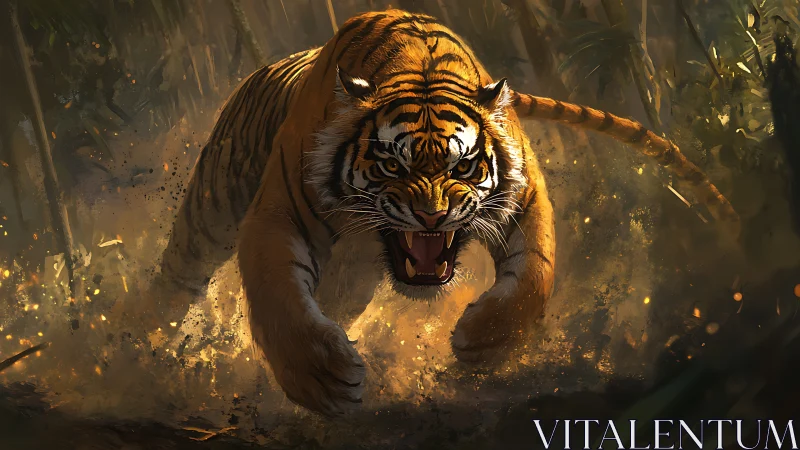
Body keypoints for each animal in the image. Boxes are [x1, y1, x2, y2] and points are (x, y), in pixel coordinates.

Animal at [144, 10, 740, 416]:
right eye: (391, 164)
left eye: (465, 165)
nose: (432, 218)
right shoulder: (276, 213)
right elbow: (279, 297)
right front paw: (324, 381)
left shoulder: (526, 202)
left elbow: (533, 280)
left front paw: (481, 344)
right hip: (212, 205)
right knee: (177, 278)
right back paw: (141, 349)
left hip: (351, 275)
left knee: (333, 298)